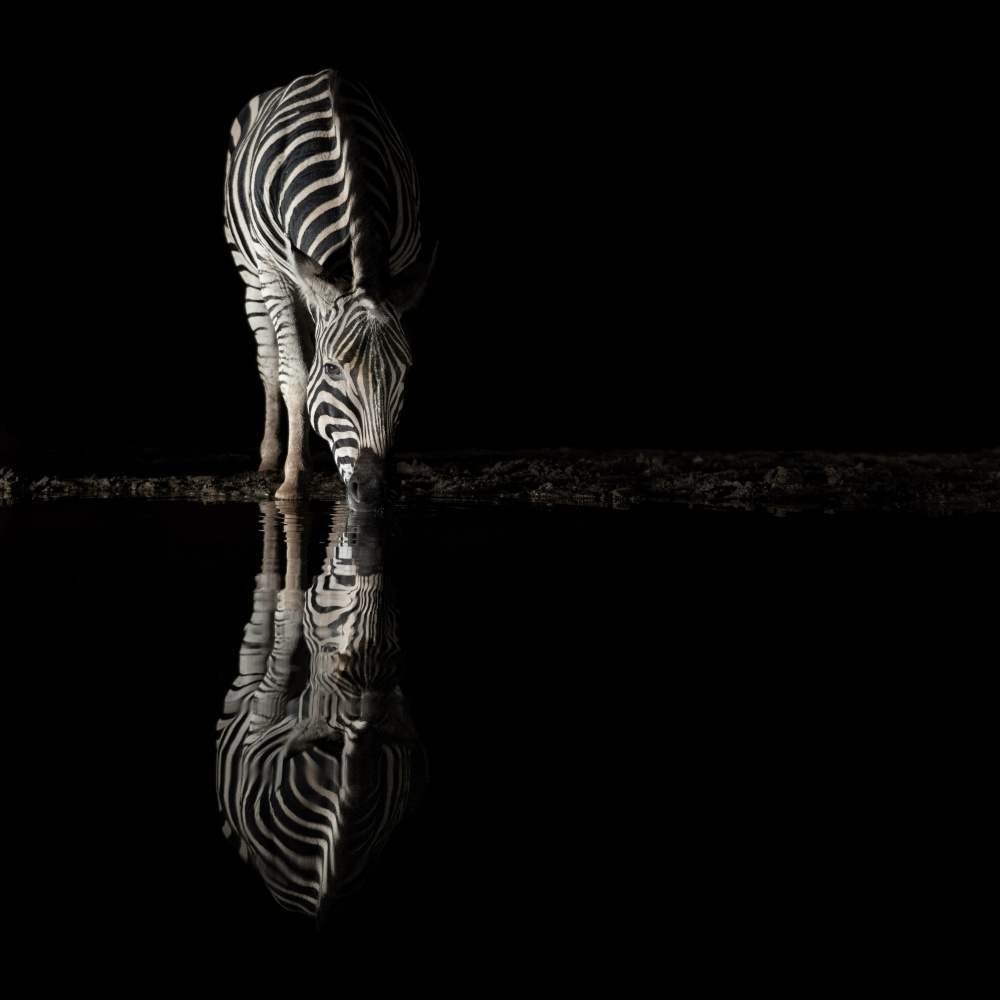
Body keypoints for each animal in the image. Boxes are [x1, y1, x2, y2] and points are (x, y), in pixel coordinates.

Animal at [216, 501, 427, 917]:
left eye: (400, 660)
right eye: (339, 660)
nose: (367, 557)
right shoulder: (268, 699)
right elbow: (289, 608)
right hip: (248, 680)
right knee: (267, 598)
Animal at [224, 70, 435, 507]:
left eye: (407, 370)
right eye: (333, 370)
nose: (374, 490)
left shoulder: (401, 270)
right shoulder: (275, 273)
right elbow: (295, 374)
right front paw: (293, 480)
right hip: (251, 277)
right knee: (270, 360)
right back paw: (271, 458)